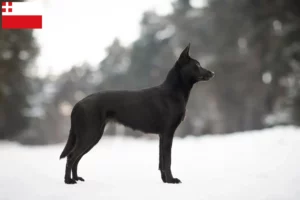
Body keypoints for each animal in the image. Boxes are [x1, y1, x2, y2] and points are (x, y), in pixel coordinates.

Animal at [59, 43, 213, 184]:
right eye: (197, 65)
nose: (212, 73)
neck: (173, 92)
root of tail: (77, 104)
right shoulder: (168, 133)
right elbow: (167, 160)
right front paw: (171, 180)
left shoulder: (162, 135)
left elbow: (161, 161)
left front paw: (164, 180)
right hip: (89, 135)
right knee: (71, 157)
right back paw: (68, 181)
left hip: (91, 136)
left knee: (76, 158)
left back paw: (76, 178)